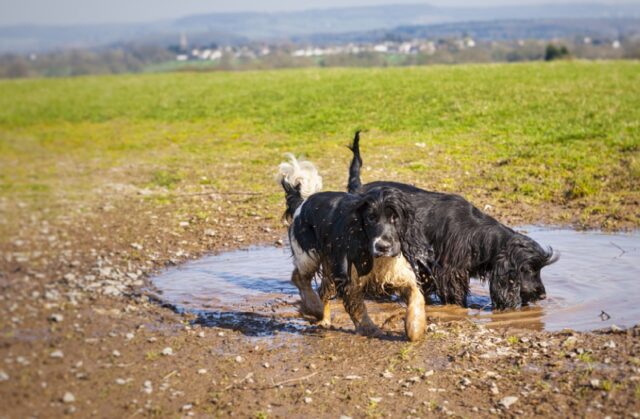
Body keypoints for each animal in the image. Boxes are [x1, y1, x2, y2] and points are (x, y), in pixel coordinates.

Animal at [278, 154, 424, 342]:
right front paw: (371, 329)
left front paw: (415, 327)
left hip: (328, 265)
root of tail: (302, 203)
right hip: (308, 255)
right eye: (370, 218)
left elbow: (415, 293)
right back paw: (314, 307)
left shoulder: (396, 271)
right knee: (300, 278)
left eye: (395, 218)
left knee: (323, 289)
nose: (382, 246)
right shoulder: (349, 275)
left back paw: (324, 318)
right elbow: (357, 306)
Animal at [344, 133, 556, 310]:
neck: (476, 234)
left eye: (539, 269)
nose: (543, 295)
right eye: (528, 269)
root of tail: (358, 190)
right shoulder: (451, 271)